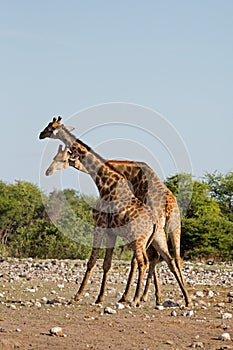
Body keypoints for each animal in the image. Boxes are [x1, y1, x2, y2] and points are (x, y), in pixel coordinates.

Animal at [39, 115, 157, 306]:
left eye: (50, 127)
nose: (40, 134)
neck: (103, 181)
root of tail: (155, 222)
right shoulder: (111, 232)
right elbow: (106, 263)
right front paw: (99, 298)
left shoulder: (99, 224)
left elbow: (91, 260)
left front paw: (77, 296)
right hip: (144, 241)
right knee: (147, 261)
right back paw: (137, 298)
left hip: (137, 239)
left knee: (142, 262)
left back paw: (135, 299)